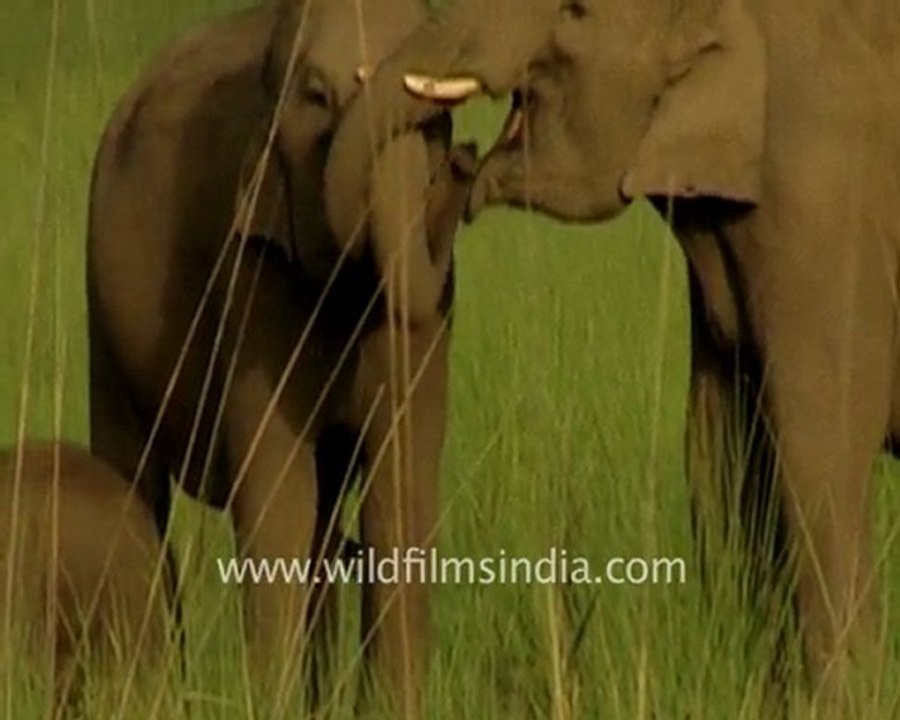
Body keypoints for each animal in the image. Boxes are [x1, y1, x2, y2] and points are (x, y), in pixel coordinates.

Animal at [86, 0, 473, 712]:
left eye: (439, 124)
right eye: (316, 96)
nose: (466, 162)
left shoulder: (429, 318)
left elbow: (399, 489)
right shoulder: (252, 269)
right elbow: (277, 497)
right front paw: (266, 705)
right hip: (101, 307)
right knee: (134, 491)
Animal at [324, 0, 900, 711]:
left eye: (575, 13)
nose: (458, 156)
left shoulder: (823, 215)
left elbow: (819, 449)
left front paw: (838, 704)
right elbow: (717, 449)